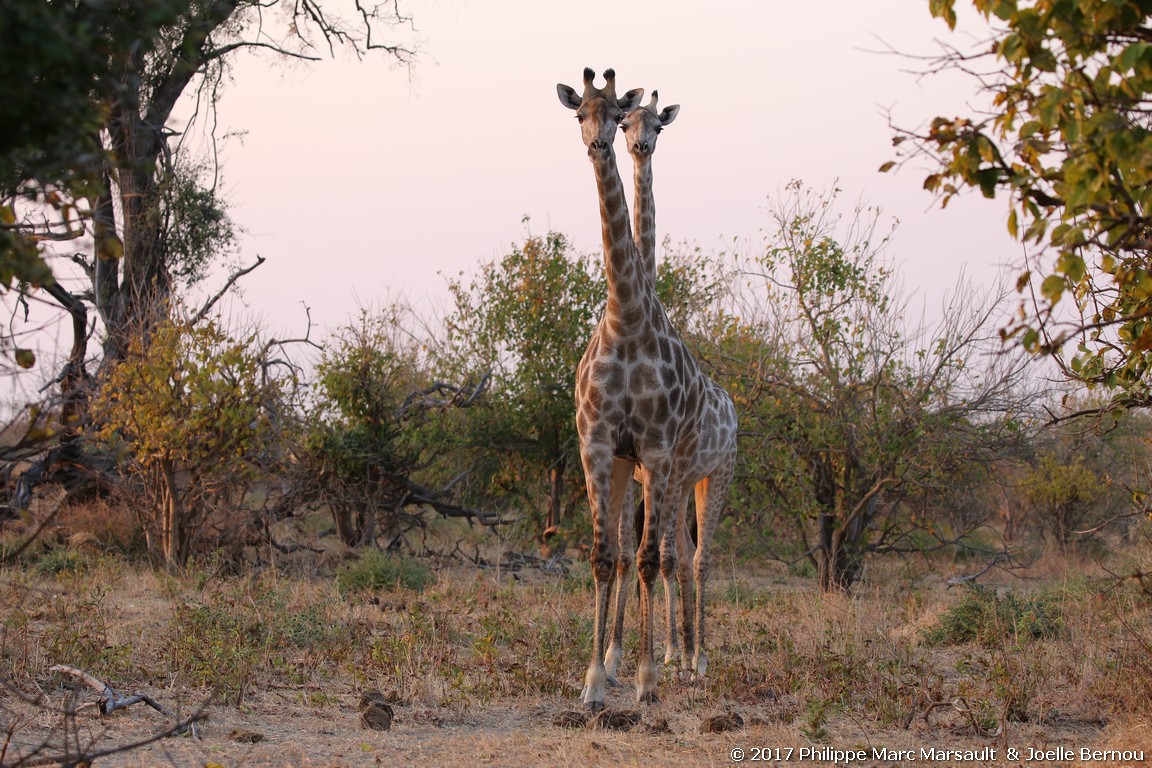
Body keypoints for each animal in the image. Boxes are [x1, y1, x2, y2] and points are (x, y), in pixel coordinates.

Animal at [557, 69, 737, 713]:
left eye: (628, 115)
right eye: (579, 113)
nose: (606, 144)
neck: (627, 316)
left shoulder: (659, 453)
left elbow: (650, 560)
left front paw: (647, 675)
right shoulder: (600, 447)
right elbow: (605, 558)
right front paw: (595, 677)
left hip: (711, 474)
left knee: (693, 558)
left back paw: (696, 660)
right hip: (644, 474)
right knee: (661, 554)